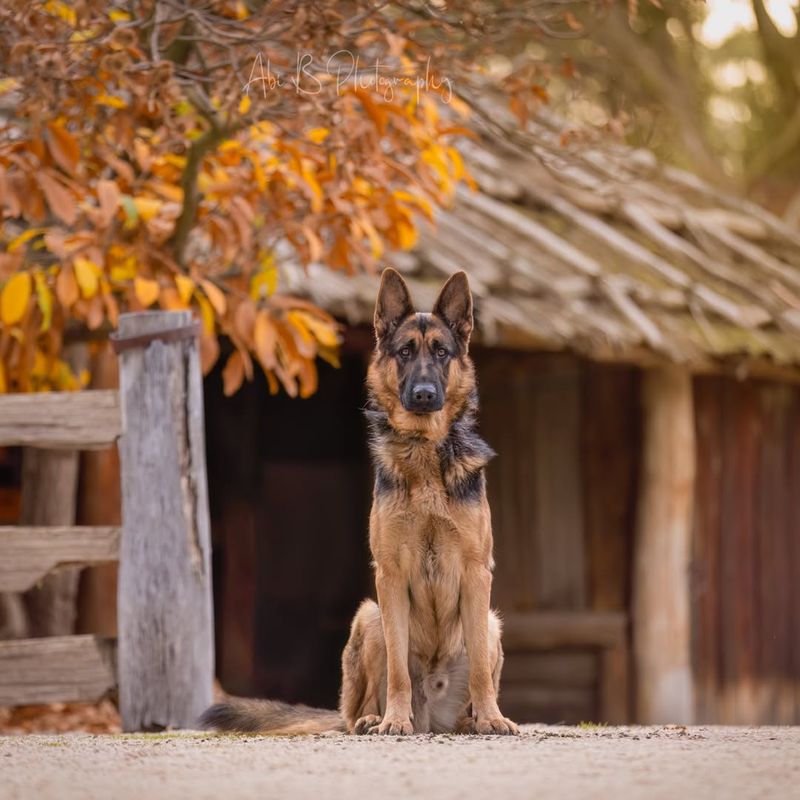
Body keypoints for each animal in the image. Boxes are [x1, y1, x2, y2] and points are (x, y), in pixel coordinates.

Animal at [202, 270, 520, 736]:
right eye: (405, 352)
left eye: (441, 352)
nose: (424, 394)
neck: (423, 453)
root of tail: (432, 716)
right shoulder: (389, 576)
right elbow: (398, 668)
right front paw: (395, 719)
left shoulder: (477, 573)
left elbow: (480, 666)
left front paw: (492, 717)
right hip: (369, 616)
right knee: (359, 706)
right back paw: (375, 717)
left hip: (492, 624)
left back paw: (471, 719)